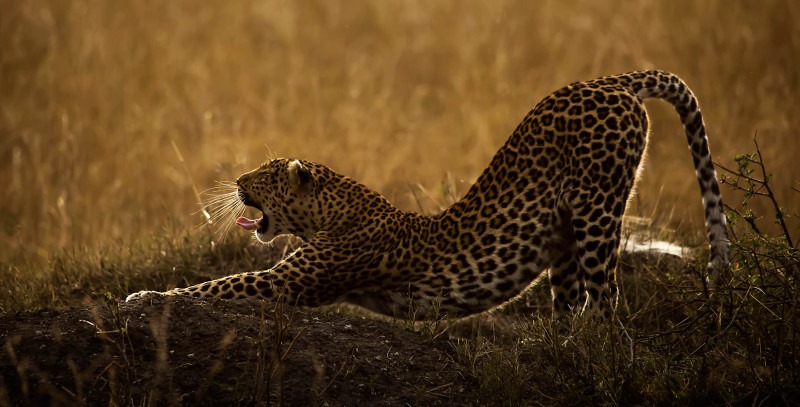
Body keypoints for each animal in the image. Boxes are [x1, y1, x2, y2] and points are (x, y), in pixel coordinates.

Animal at [126, 70, 732, 322]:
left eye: (267, 174)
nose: (237, 183)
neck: (330, 211)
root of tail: (613, 82)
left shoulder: (289, 281)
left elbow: (215, 286)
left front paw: (144, 298)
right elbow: (217, 285)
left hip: (598, 209)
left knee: (607, 300)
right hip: (563, 233)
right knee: (571, 299)